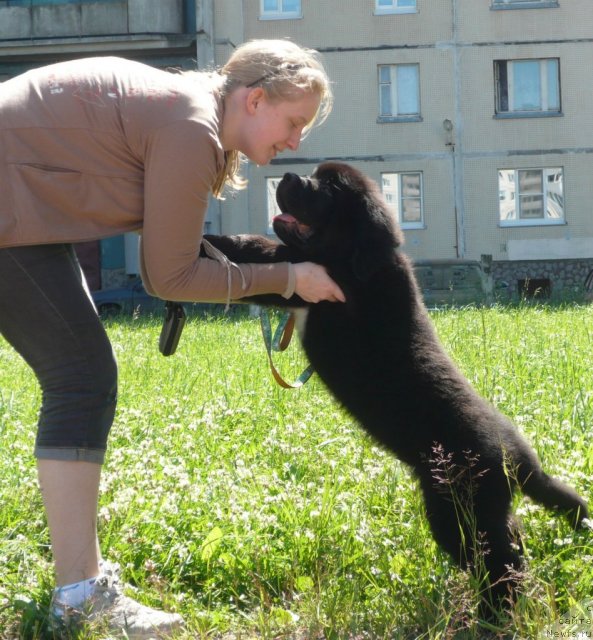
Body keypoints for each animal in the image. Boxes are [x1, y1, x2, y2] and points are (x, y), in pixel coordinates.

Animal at [202, 160, 588, 616]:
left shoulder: (315, 279)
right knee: (511, 545)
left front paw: (207, 243)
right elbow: (260, 250)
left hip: (460, 509)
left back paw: (493, 615)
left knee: (499, 562)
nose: (290, 177)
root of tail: (521, 460)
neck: (359, 258)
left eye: (327, 188)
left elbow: (267, 255)